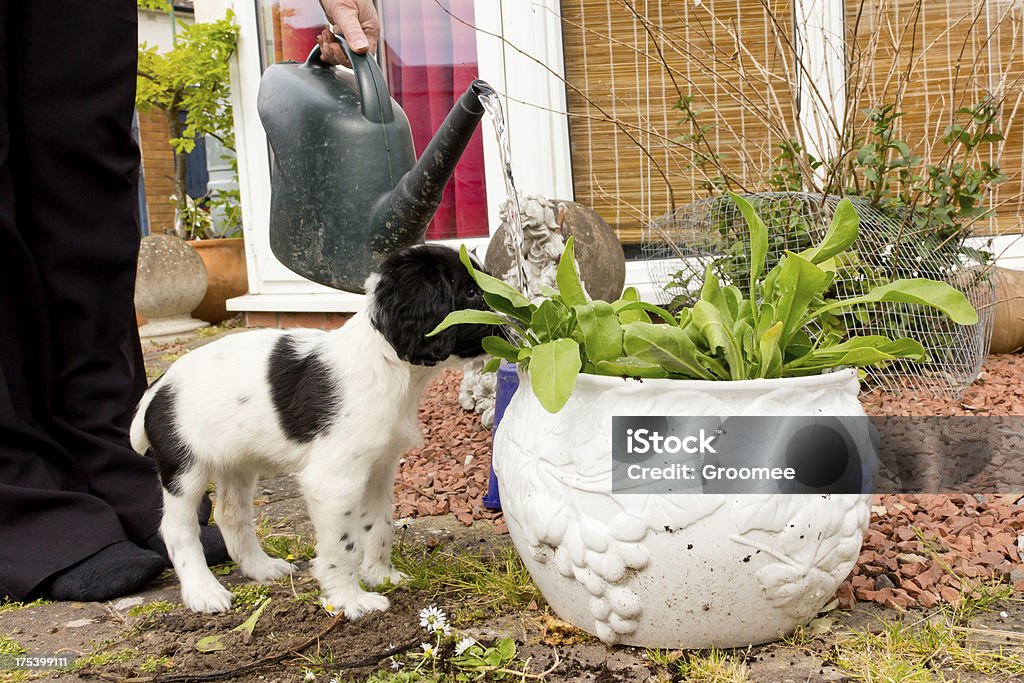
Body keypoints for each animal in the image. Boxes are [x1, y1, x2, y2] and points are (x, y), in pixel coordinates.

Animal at [130, 246, 497, 618]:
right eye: (471, 292)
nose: (511, 315)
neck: (387, 366)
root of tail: (157, 386)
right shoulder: (334, 481)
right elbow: (344, 547)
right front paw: (351, 599)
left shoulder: (379, 466)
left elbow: (379, 525)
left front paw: (381, 575)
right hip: (184, 466)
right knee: (177, 529)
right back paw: (203, 592)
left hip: (236, 462)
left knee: (230, 515)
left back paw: (261, 567)